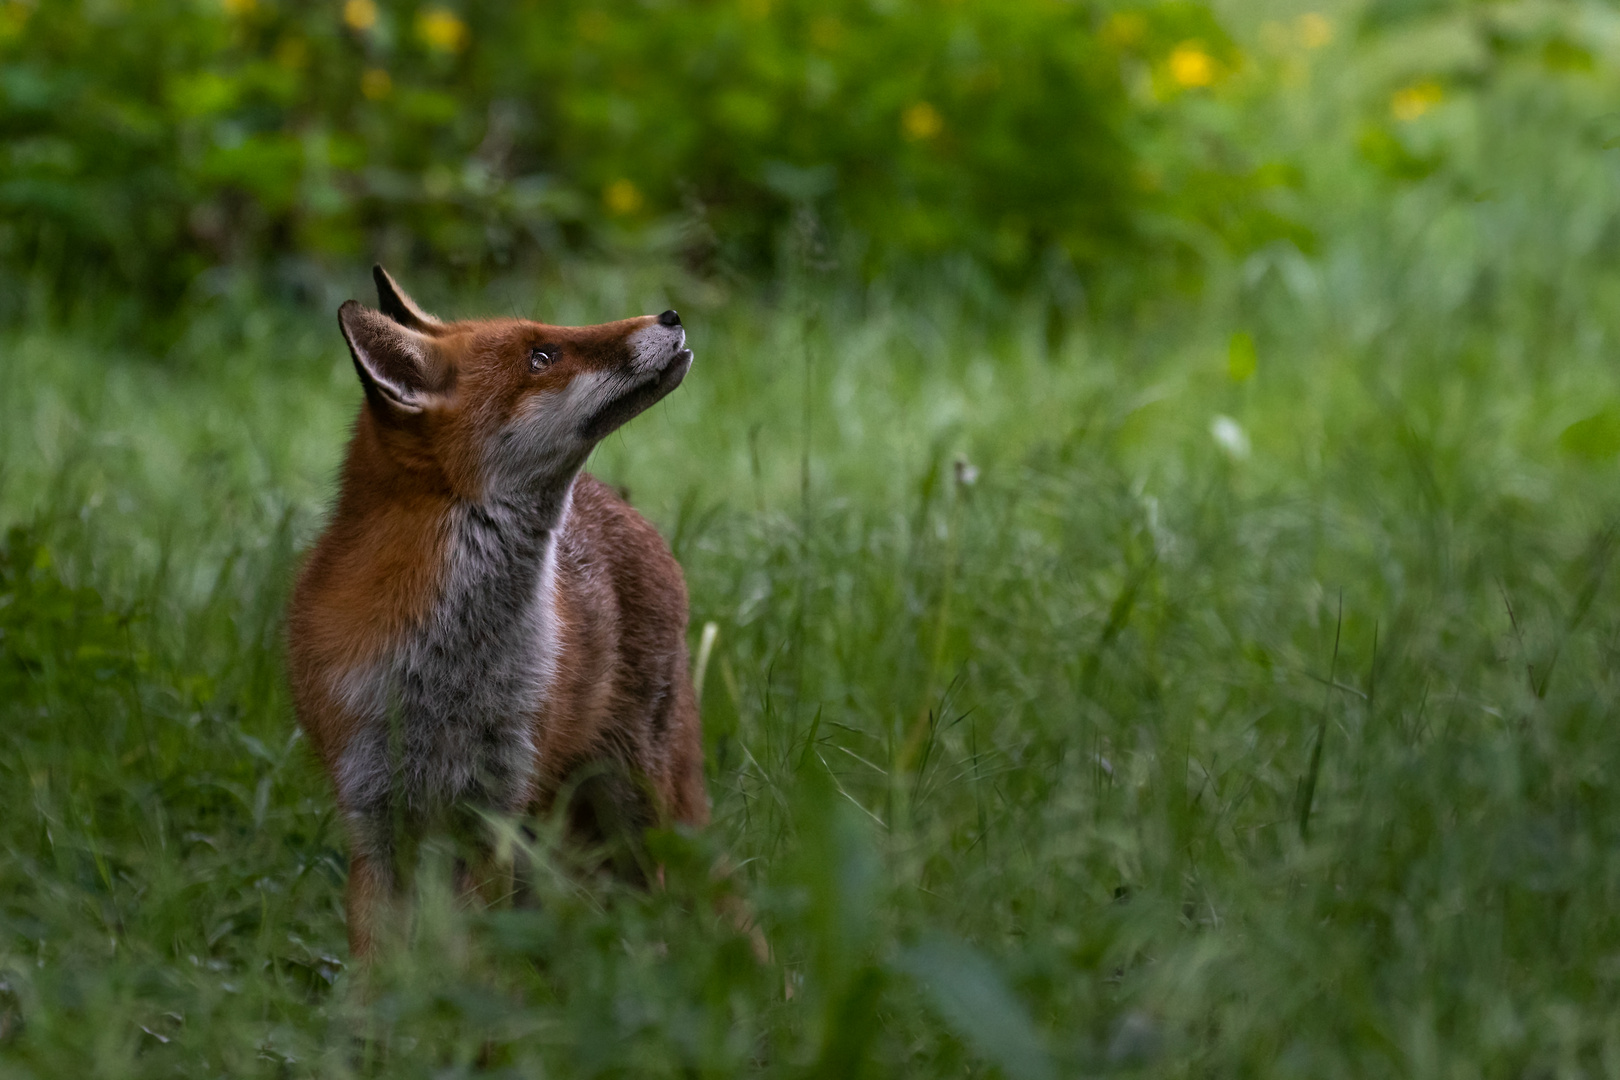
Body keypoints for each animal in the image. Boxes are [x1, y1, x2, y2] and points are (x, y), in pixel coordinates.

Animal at [289, 265, 703, 958]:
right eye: (542, 357)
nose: (670, 316)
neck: (447, 672)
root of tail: (620, 502)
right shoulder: (372, 822)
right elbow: (383, 966)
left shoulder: (492, 816)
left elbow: (472, 955)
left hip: (632, 811)